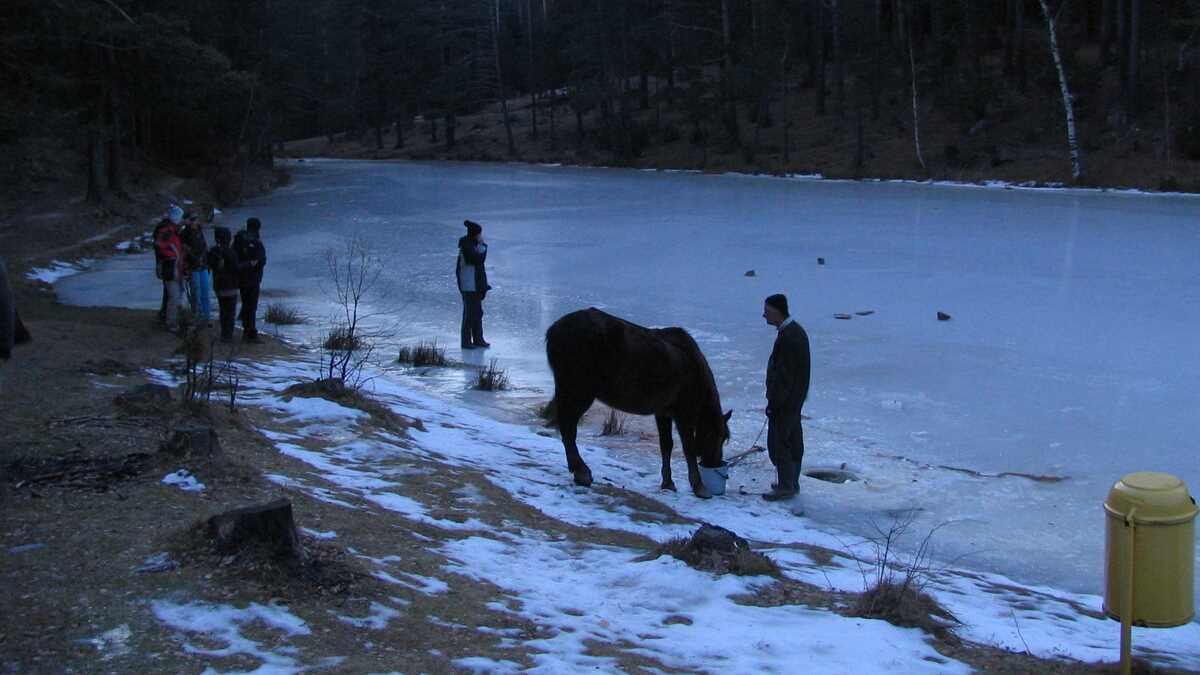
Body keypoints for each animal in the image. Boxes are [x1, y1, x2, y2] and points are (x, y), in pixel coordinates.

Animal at [544, 307, 729, 497]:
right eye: (720, 437)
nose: (716, 464)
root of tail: (554, 331)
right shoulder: (684, 413)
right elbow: (688, 449)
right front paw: (699, 486)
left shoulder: (663, 413)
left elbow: (666, 445)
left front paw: (668, 482)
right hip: (580, 390)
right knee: (568, 427)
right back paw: (582, 472)